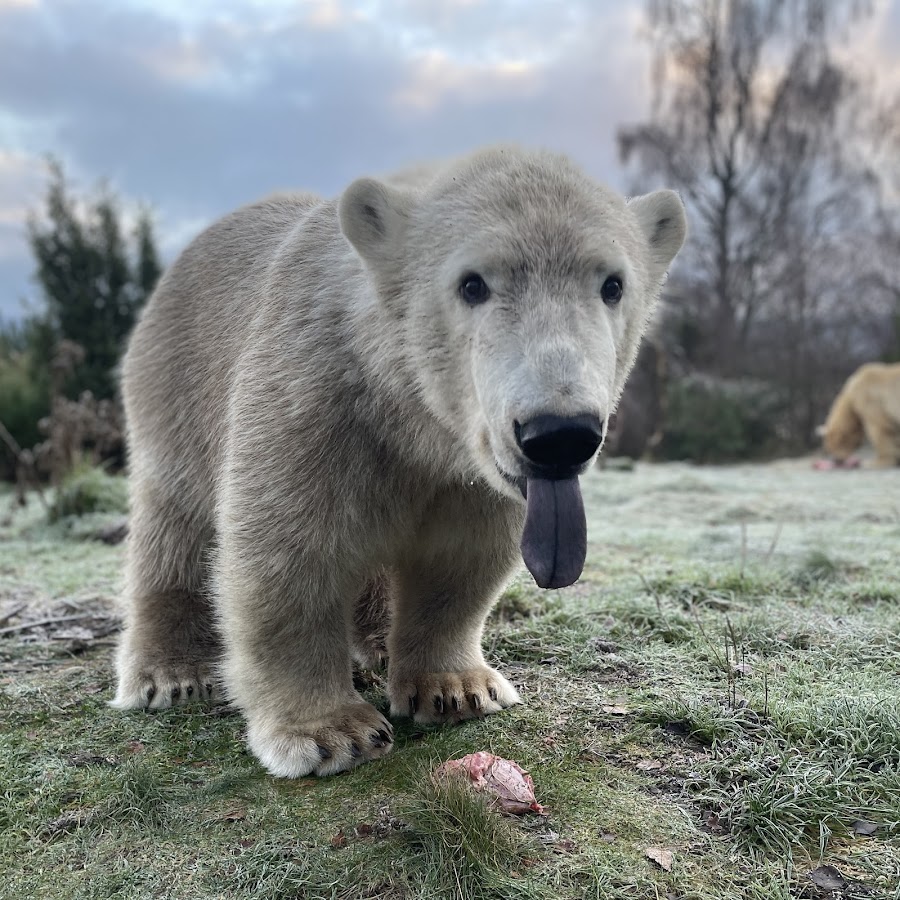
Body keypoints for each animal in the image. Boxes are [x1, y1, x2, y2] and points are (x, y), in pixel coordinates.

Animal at [112, 146, 688, 772]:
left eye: (613, 284)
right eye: (471, 284)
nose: (559, 435)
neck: (411, 418)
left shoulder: (467, 476)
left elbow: (460, 559)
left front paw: (456, 689)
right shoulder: (313, 400)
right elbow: (288, 554)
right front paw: (331, 732)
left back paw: (376, 647)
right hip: (175, 389)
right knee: (173, 523)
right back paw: (172, 674)